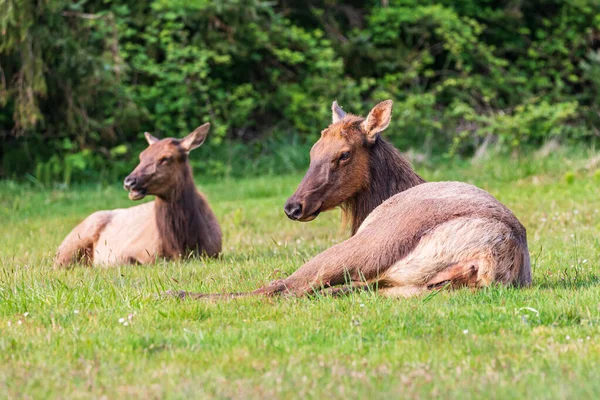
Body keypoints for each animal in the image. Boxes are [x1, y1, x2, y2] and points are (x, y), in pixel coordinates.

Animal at [52, 122, 221, 266]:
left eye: (166, 158)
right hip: (69, 246)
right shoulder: (133, 253)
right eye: (142, 156)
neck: (181, 246)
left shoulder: (214, 253)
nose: (129, 182)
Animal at [173, 101, 528, 298]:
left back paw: (181, 293)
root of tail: (491, 255)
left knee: (283, 288)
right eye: (313, 151)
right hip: (405, 287)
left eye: (344, 154)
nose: (293, 206)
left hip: (374, 244)